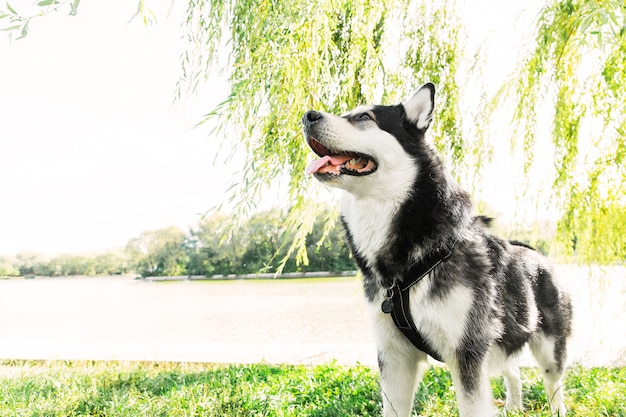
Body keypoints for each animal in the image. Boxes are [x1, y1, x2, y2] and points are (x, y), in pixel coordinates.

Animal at [302, 83, 572, 414]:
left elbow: (474, 406)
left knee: (554, 383)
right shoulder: (394, 356)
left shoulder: (466, 351)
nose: (308, 116)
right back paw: (512, 406)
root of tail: (537, 254)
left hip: (549, 348)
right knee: (513, 370)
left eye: (365, 117)